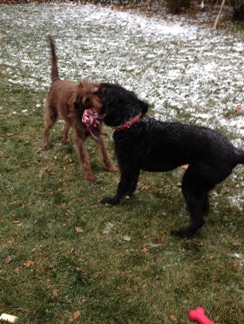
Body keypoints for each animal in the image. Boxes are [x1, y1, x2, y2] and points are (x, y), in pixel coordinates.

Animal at [43, 37, 115, 182]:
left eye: (96, 93)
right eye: (86, 100)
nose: (102, 107)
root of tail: (56, 80)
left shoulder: (97, 133)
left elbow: (104, 152)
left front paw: (110, 167)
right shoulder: (79, 138)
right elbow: (83, 157)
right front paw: (89, 175)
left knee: (66, 124)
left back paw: (64, 138)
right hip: (52, 113)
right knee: (46, 128)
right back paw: (46, 144)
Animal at [99, 82, 244, 237]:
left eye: (105, 91)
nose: (100, 84)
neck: (131, 123)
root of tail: (235, 153)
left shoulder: (127, 169)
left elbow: (121, 188)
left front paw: (112, 202)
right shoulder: (134, 170)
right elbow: (131, 187)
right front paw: (127, 198)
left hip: (190, 183)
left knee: (199, 219)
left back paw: (183, 234)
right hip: (199, 183)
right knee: (204, 207)